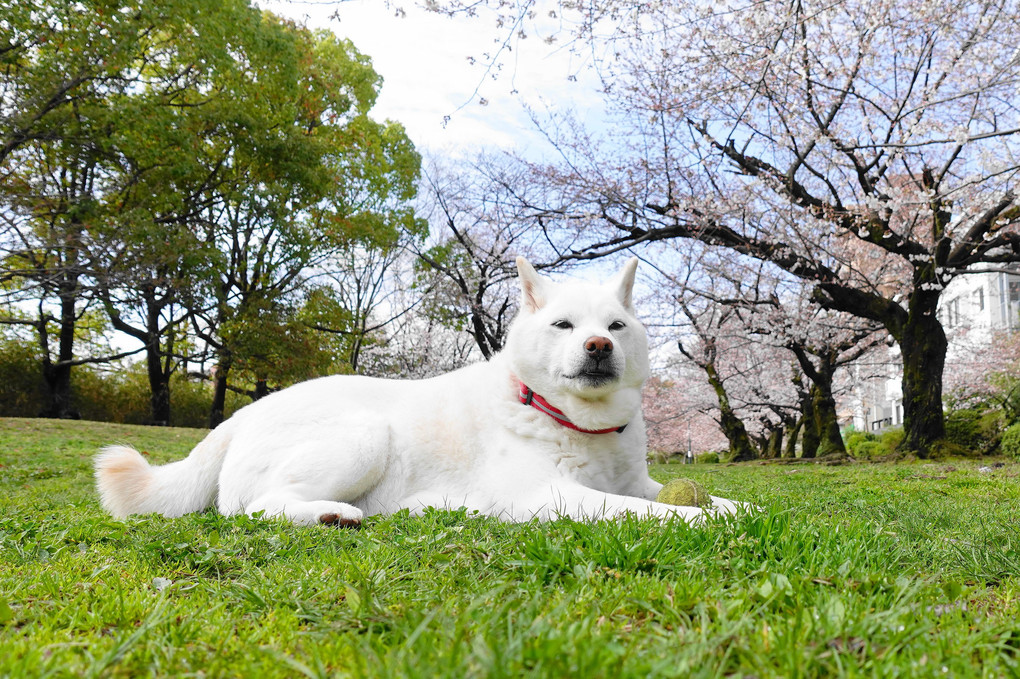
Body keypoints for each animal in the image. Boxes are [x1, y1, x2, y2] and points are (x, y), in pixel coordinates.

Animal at [93, 256, 742, 519]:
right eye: (564, 326)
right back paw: (332, 515)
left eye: (616, 326)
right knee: (254, 509)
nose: (599, 347)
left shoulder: (637, 481)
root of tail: (239, 418)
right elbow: (653, 513)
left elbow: (707, 498)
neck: (577, 421)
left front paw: (742, 509)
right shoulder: (546, 495)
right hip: (365, 436)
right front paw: (704, 522)